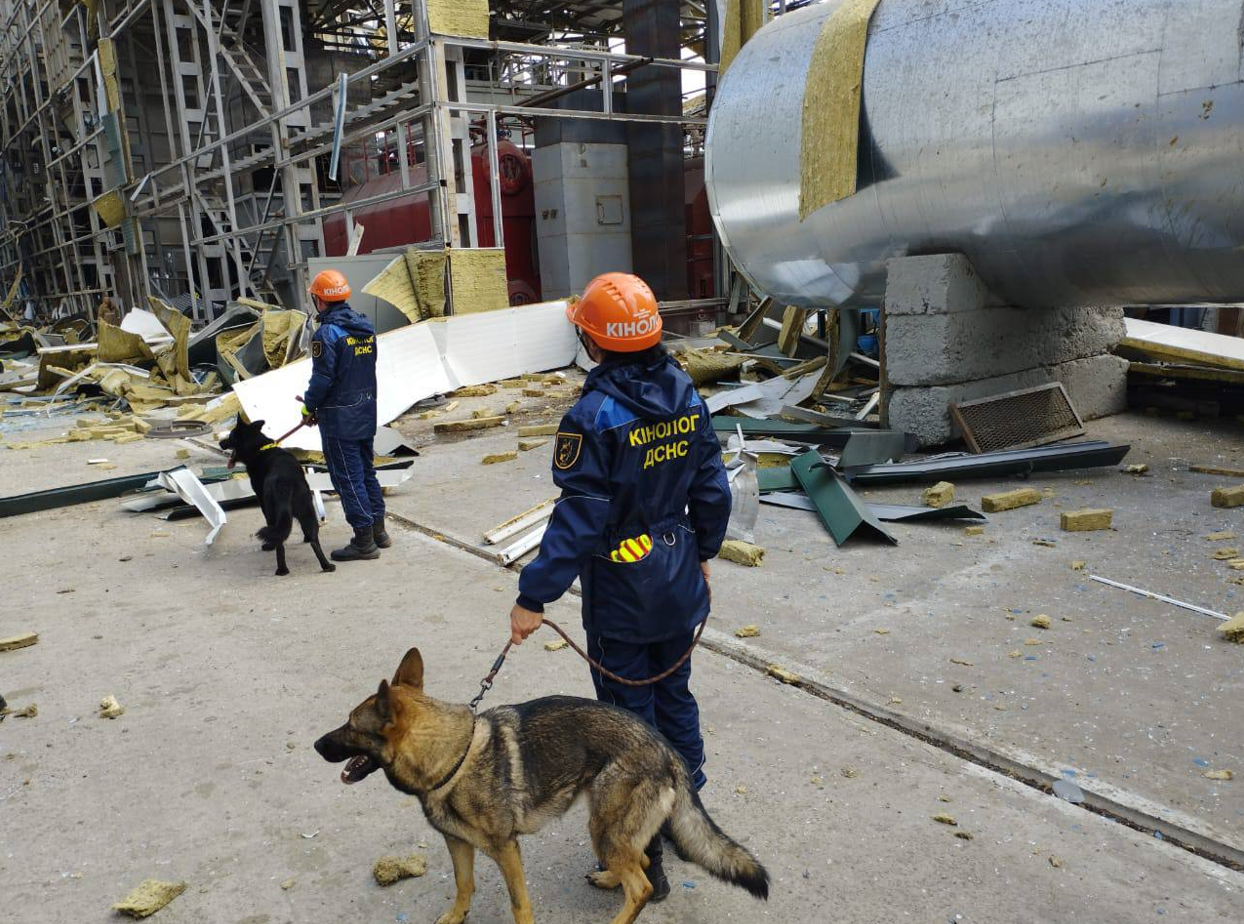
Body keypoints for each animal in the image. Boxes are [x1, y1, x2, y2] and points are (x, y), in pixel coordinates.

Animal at [218, 420, 335, 577]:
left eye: (230, 437)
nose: (220, 442)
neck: (259, 448)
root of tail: (285, 482)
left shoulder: (261, 500)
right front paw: (305, 538)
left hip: (273, 513)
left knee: (280, 543)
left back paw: (281, 569)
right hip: (307, 510)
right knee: (314, 540)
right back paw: (326, 565)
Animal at [315, 651, 761, 924]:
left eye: (351, 726)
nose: (317, 745)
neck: (449, 756)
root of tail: (668, 749)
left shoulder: (506, 849)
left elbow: (518, 903)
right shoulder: (457, 843)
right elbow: (463, 885)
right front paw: (456, 917)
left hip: (603, 829)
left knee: (643, 885)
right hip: (612, 832)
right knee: (642, 862)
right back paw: (609, 879)